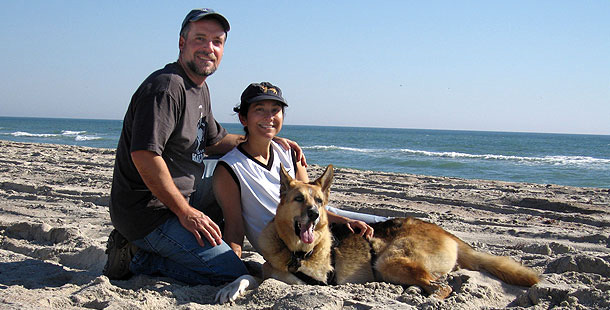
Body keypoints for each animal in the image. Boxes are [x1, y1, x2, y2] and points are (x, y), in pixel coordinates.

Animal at [215, 165, 536, 302]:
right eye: (298, 199)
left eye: (318, 201)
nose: (315, 215)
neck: (296, 251)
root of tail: (446, 232)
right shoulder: (270, 274)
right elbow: (249, 276)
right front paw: (232, 287)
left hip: (388, 260)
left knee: (440, 287)